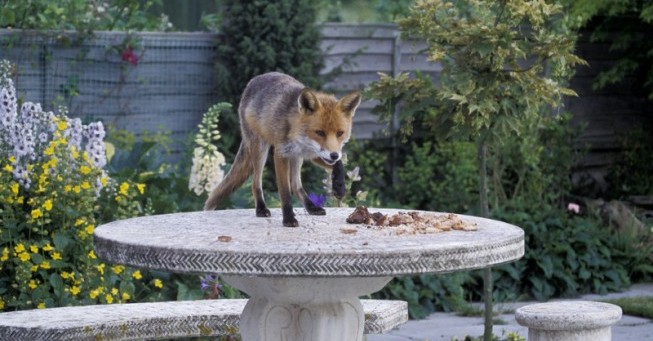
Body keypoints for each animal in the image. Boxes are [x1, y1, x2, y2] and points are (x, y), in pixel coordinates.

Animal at [202, 71, 362, 226]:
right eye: (320, 132)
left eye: (340, 133)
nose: (334, 154)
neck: (299, 137)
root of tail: (253, 81)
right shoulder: (281, 154)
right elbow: (285, 191)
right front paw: (289, 218)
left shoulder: (313, 154)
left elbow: (339, 165)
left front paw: (339, 187)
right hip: (260, 150)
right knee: (256, 183)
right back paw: (261, 209)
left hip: (297, 158)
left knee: (296, 185)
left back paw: (311, 207)